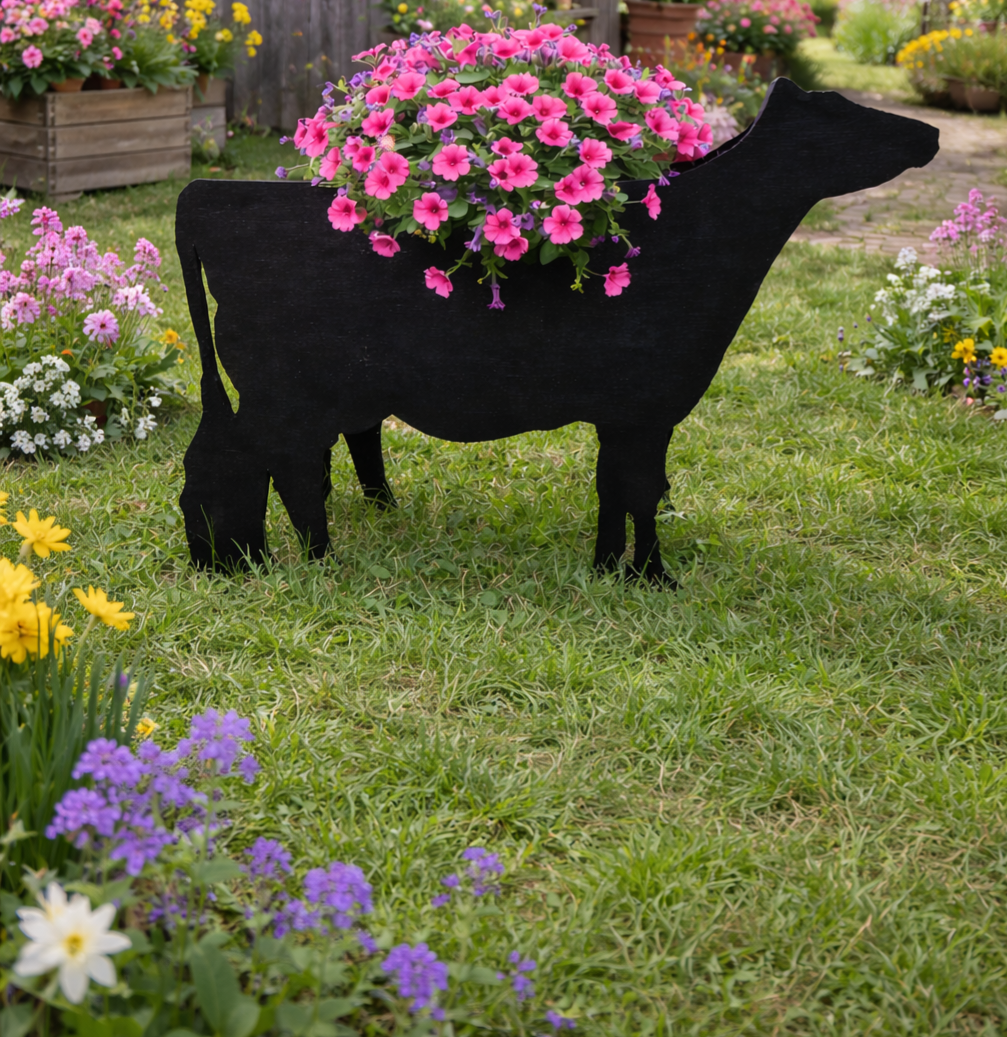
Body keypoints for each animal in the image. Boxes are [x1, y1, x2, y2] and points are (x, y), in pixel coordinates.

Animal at [175, 78, 939, 585]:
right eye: (837, 110)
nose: (929, 134)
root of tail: (208, 193)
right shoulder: (644, 408)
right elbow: (638, 490)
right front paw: (650, 577)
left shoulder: (625, 414)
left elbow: (616, 490)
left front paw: (606, 569)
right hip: (284, 393)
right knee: (264, 469)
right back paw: (292, 561)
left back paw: (240, 558)